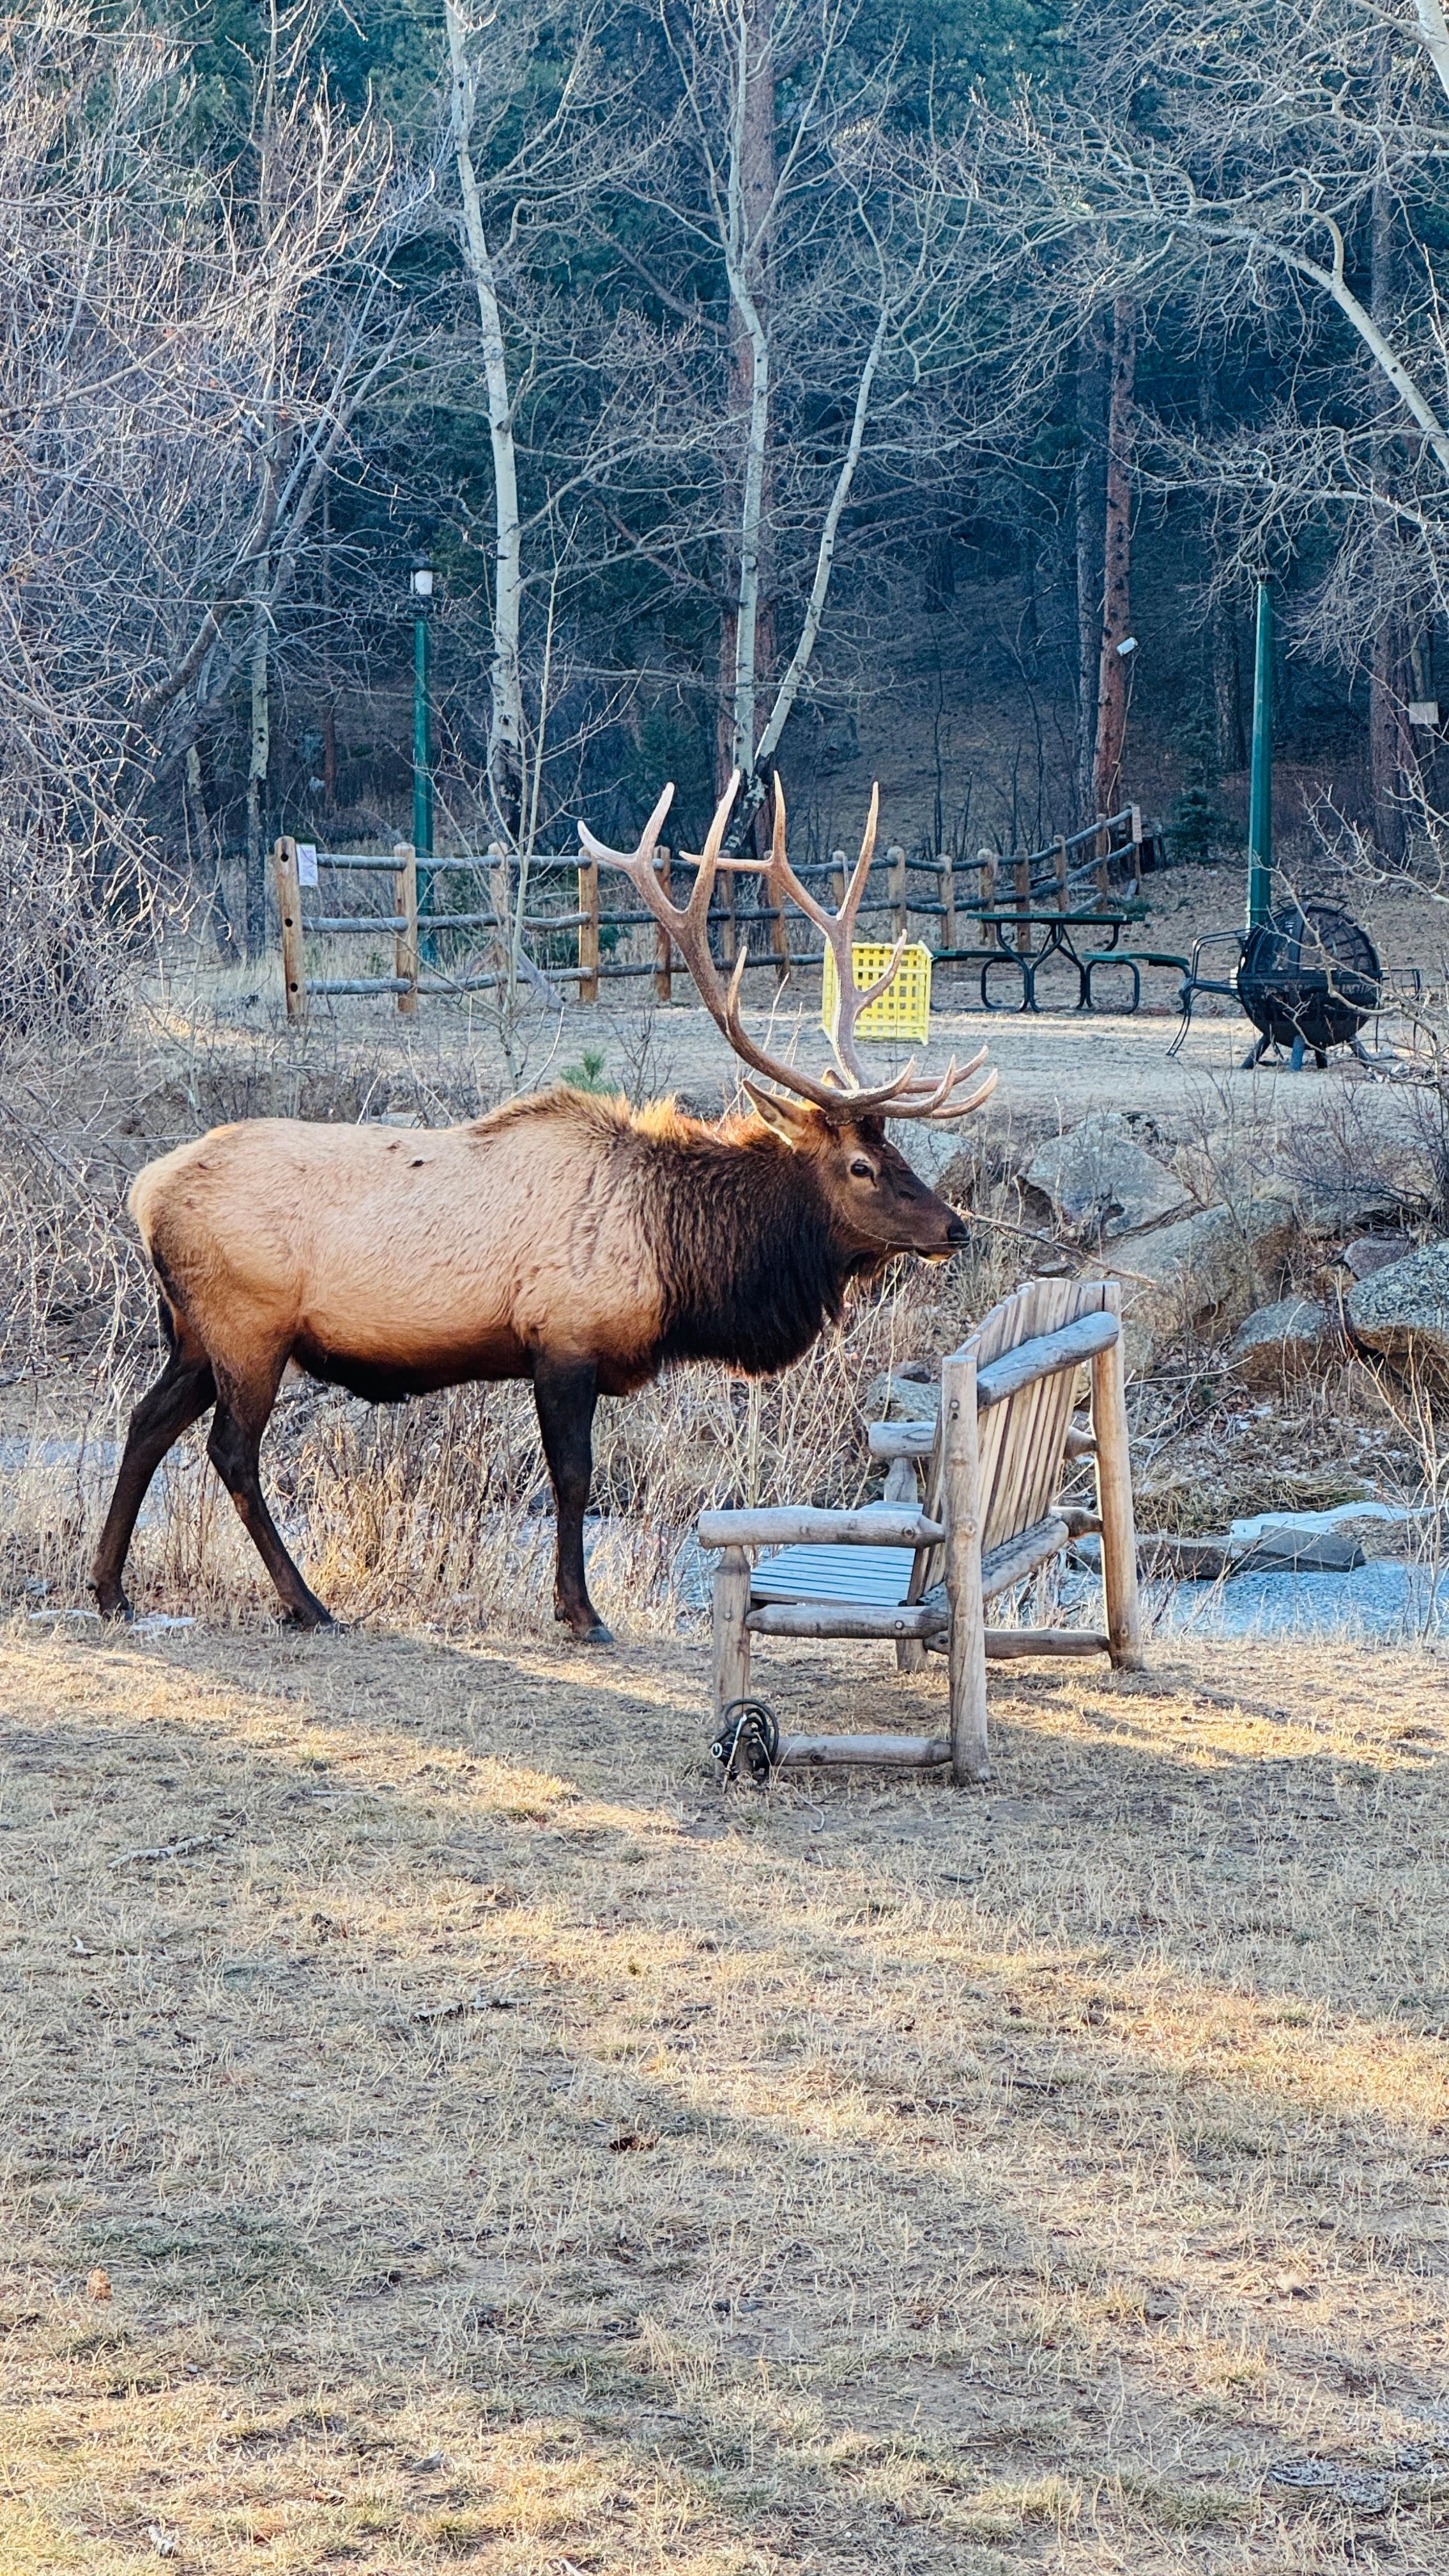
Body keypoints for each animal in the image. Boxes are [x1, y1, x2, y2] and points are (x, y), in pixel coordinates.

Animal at [92, 774, 996, 1643]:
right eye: (861, 1166)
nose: (954, 1228)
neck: (680, 1265)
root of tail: (146, 1190)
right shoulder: (563, 1338)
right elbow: (573, 1478)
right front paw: (580, 1611)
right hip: (249, 1324)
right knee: (231, 1452)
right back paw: (305, 1602)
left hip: (195, 1332)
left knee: (147, 1423)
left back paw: (109, 1590)